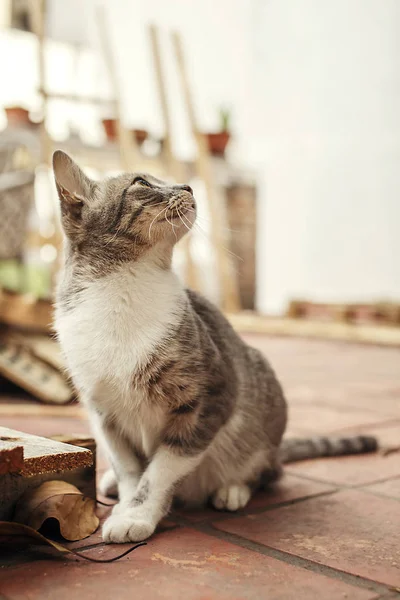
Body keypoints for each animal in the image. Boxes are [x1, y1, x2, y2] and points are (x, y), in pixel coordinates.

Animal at [52, 151, 376, 544]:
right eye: (142, 183)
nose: (188, 187)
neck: (123, 289)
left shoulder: (212, 396)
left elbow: (161, 468)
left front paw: (137, 514)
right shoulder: (104, 413)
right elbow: (129, 468)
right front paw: (127, 502)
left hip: (261, 403)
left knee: (268, 471)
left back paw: (233, 489)